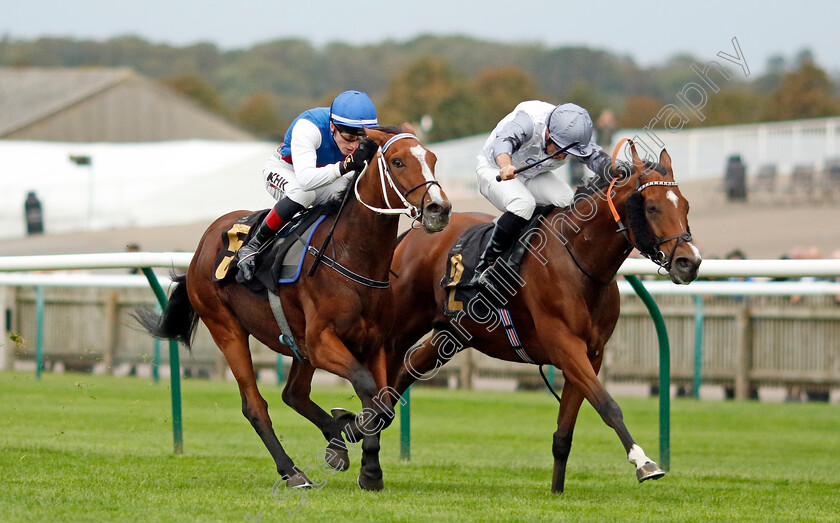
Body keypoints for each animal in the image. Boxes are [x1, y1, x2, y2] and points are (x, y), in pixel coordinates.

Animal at [136, 125, 452, 494]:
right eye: (398, 161)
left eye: (432, 158)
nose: (439, 208)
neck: (351, 256)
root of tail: (202, 245)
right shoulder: (321, 341)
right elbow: (366, 387)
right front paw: (354, 433)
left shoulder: (373, 344)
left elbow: (383, 405)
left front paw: (368, 467)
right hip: (227, 329)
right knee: (255, 405)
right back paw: (292, 471)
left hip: (298, 344)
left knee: (294, 394)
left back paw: (335, 442)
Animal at [380, 143, 704, 496]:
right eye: (653, 207)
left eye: (685, 205)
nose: (689, 262)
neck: (579, 260)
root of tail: (411, 236)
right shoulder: (565, 346)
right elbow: (608, 405)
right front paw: (644, 462)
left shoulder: (592, 353)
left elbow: (564, 432)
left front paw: (557, 491)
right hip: (401, 325)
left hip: (453, 334)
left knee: (406, 373)